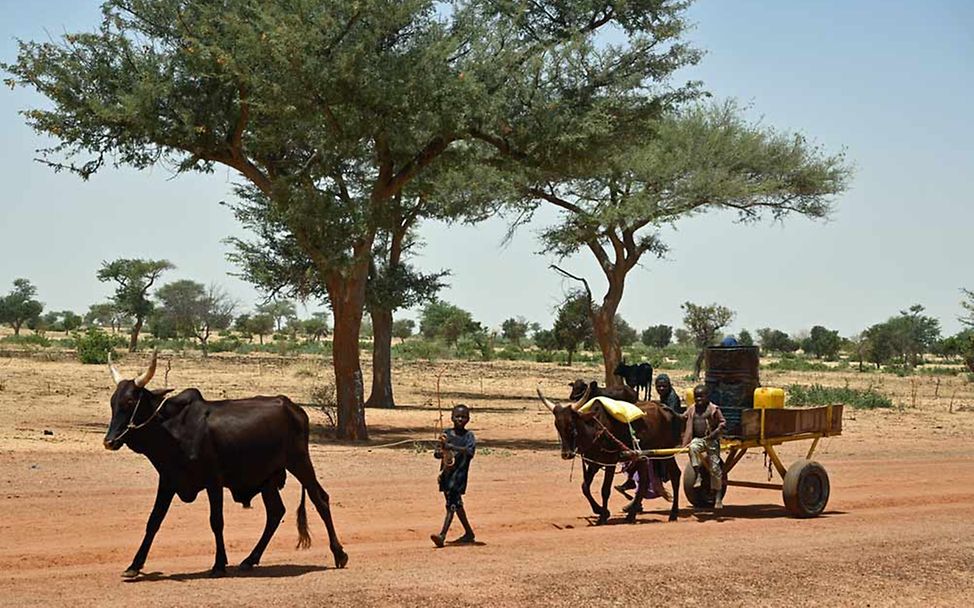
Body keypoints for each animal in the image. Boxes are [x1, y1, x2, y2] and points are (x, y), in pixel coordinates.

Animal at [102, 352, 346, 576]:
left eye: (130, 402)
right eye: (113, 402)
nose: (109, 441)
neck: (173, 430)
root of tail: (293, 407)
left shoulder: (214, 482)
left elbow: (216, 521)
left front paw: (219, 564)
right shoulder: (168, 481)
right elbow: (154, 520)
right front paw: (134, 566)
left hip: (300, 462)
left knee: (320, 499)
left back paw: (339, 554)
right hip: (268, 477)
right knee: (276, 512)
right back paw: (250, 559)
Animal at [536, 390, 684, 524]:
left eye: (571, 424)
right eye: (557, 425)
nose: (566, 454)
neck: (596, 430)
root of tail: (666, 410)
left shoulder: (610, 462)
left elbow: (605, 490)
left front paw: (602, 517)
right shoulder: (594, 463)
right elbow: (585, 487)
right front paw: (601, 511)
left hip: (667, 452)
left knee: (675, 474)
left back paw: (673, 514)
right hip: (644, 456)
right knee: (644, 481)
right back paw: (631, 515)